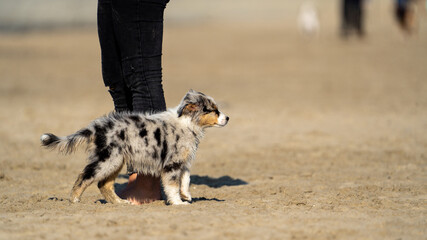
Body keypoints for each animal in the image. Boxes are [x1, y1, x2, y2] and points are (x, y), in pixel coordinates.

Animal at [41, 90, 231, 204]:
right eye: (212, 110)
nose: (228, 118)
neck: (187, 122)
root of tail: (97, 126)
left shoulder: (182, 162)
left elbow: (185, 180)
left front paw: (186, 196)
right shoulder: (172, 164)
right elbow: (172, 186)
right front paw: (178, 203)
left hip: (116, 161)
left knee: (104, 184)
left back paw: (120, 203)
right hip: (108, 159)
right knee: (85, 176)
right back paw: (74, 199)